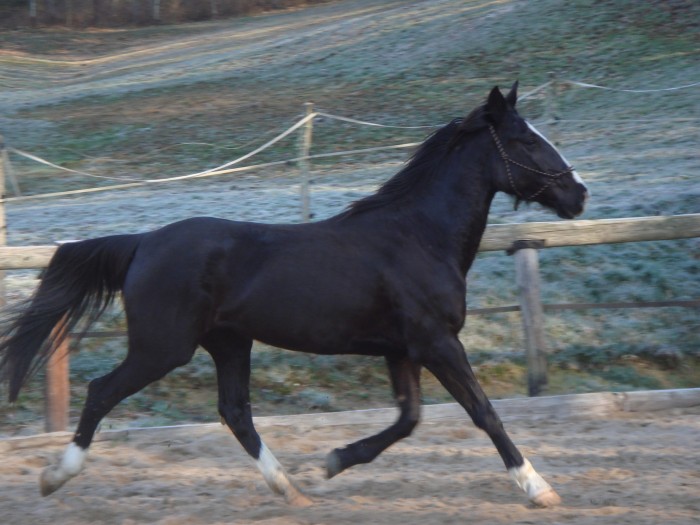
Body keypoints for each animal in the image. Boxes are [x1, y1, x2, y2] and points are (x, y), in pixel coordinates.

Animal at [0, 83, 588, 508]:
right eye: (526, 140)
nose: (579, 193)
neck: (419, 236)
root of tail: (143, 242)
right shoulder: (437, 343)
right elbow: (483, 412)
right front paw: (539, 488)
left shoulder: (403, 350)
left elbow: (409, 418)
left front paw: (334, 461)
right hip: (163, 348)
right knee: (102, 392)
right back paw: (54, 477)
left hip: (229, 343)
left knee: (235, 412)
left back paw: (292, 489)